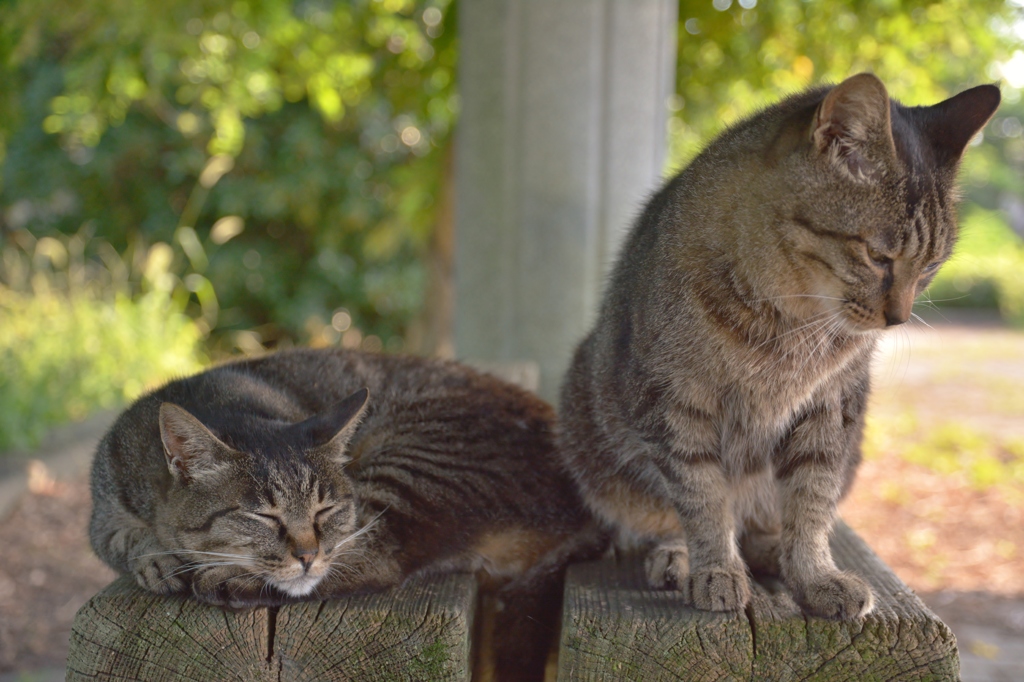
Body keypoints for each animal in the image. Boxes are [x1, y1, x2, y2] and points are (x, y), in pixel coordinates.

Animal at [92, 348, 598, 675]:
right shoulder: (102, 512)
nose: (307, 554)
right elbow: (122, 538)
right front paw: (156, 557)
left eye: (325, 509)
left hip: (416, 463)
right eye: (264, 517)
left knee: (380, 558)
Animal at [561, 73, 999, 614]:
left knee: (762, 522)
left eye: (932, 265)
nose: (897, 320)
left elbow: (811, 499)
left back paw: (772, 552)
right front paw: (716, 567)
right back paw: (679, 556)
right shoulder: (671, 400)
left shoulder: (832, 406)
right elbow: (702, 495)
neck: (792, 321)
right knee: (666, 514)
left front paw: (813, 574)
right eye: (878, 256)